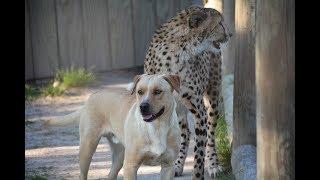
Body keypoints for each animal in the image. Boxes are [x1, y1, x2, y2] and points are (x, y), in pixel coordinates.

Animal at [44, 73, 181, 180]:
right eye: (140, 92)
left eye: (158, 91)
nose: (142, 106)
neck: (157, 127)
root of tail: (92, 96)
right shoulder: (130, 166)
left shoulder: (168, 167)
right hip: (87, 148)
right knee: (82, 174)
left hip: (119, 155)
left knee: (110, 175)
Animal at [143, 5, 230, 179]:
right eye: (219, 23)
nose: (229, 34)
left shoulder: (199, 111)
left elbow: (199, 153)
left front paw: (200, 172)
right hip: (178, 109)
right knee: (186, 133)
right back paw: (177, 164)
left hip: (213, 97)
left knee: (211, 132)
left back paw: (213, 164)